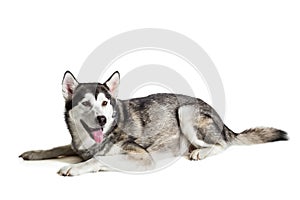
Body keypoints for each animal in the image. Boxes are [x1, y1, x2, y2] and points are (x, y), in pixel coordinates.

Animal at [19, 70, 288, 175]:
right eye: (86, 103)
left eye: (105, 103)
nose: (102, 119)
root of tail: (221, 118)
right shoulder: (75, 145)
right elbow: (57, 147)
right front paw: (34, 153)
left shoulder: (141, 157)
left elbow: (100, 160)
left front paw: (74, 168)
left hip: (186, 112)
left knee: (222, 144)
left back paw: (199, 152)